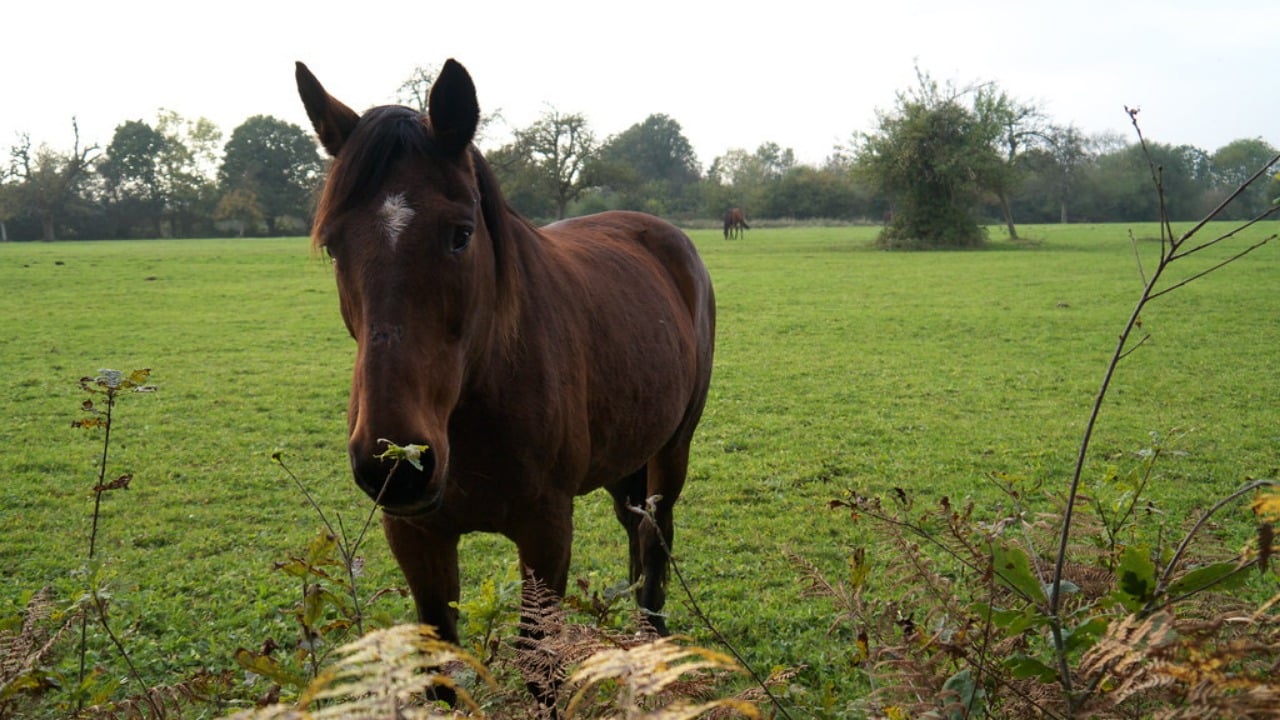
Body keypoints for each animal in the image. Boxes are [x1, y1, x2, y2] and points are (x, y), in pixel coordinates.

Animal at [294, 59, 716, 665]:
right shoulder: (416, 536)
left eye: (461, 235)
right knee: (637, 530)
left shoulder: (546, 532)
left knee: (656, 539)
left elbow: (540, 659)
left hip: (672, 449)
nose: (396, 463)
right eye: (333, 245)